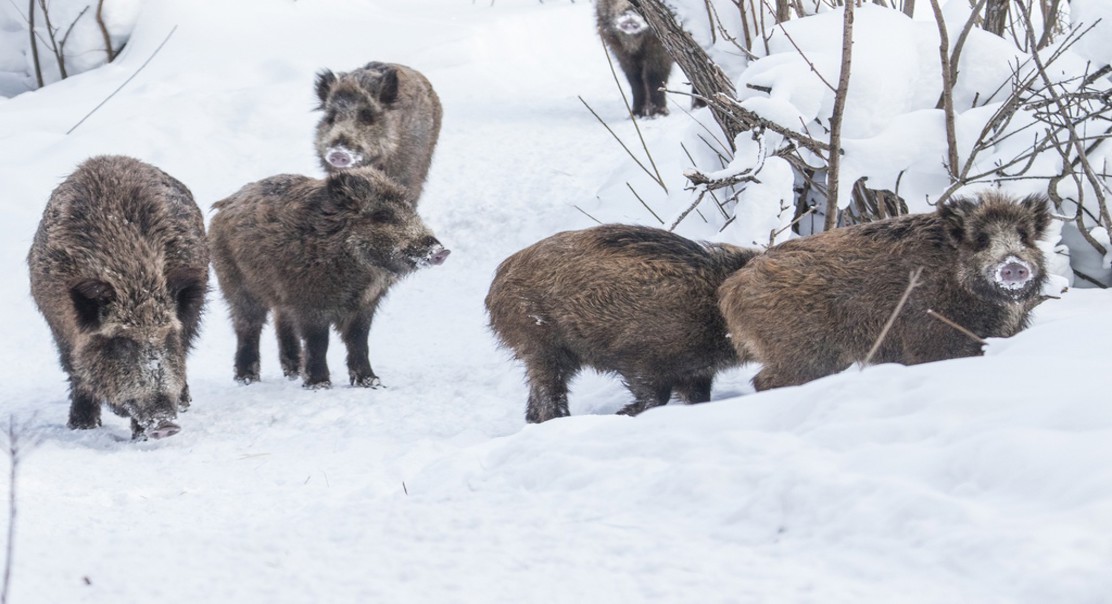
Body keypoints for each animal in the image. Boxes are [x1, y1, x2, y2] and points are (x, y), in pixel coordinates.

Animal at [28, 155, 209, 440]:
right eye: (122, 341)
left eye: (168, 336)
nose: (166, 425)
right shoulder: (63, 330)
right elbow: (77, 372)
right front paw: (81, 427)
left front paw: (140, 438)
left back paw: (184, 402)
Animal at [208, 166, 449, 389]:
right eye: (381, 216)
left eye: (410, 209)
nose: (441, 251)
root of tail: (223, 204)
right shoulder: (311, 302)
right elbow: (319, 342)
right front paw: (320, 385)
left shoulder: (365, 305)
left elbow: (359, 341)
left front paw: (372, 382)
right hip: (238, 285)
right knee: (247, 327)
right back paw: (247, 379)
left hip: (280, 297)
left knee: (281, 323)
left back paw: (294, 373)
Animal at [485, 224, 759, 423]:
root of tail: (498, 278)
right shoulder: (640, 358)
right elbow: (656, 395)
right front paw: (622, 413)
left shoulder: (697, 373)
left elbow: (698, 398)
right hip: (539, 342)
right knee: (548, 388)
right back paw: (558, 420)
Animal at [717, 192, 1052, 391]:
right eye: (981, 239)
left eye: (1024, 236)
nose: (1013, 266)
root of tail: (732, 286)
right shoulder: (931, 342)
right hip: (803, 354)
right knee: (766, 381)